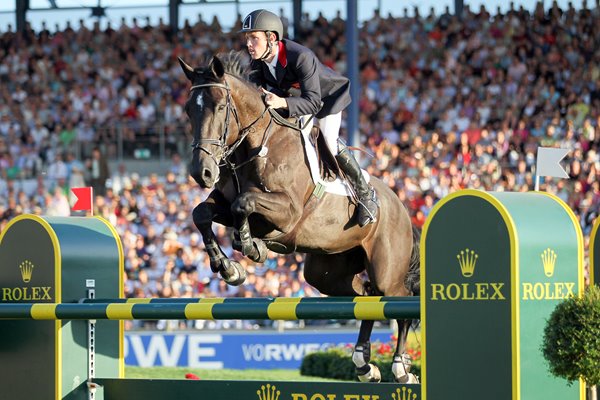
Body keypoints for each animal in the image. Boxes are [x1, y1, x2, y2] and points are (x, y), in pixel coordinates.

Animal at [180, 54, 420, 382]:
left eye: (219, 107)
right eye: (189, 110)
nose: (201, 172)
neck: (257, 145)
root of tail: (401, 206)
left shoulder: (286, 212)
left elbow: (245, 204)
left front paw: (251, 247)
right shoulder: (226, 205)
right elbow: (202, 213)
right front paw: (229, 267)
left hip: (387, 271)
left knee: (397, 300)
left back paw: (400, 368)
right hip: (326, 272)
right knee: (366, 296)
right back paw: (364, 364)